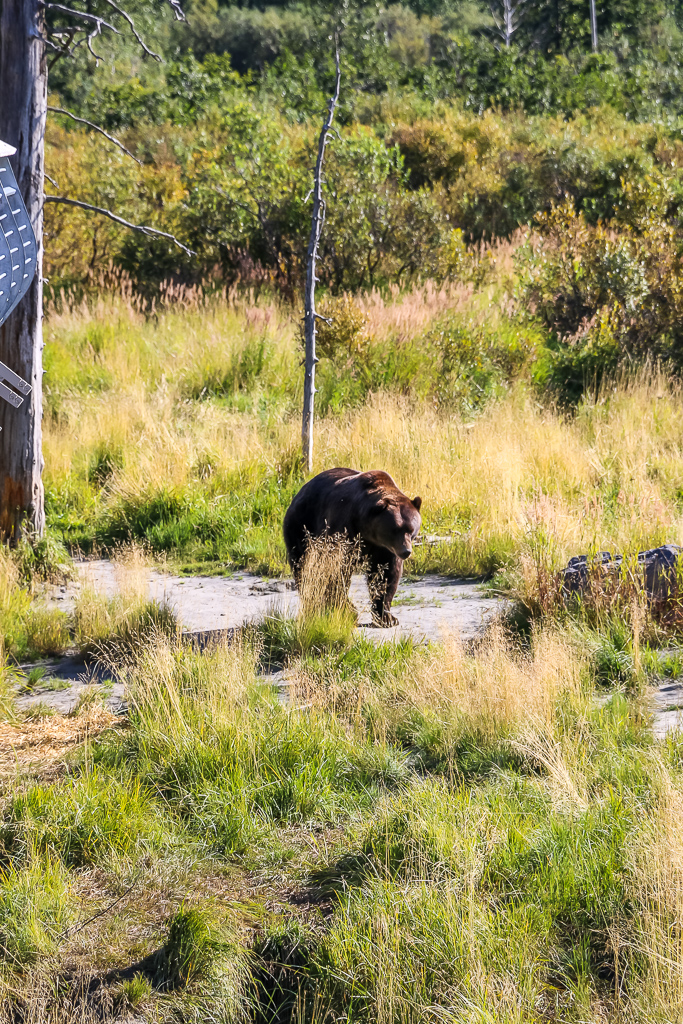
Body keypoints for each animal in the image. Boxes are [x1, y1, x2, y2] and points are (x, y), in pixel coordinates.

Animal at [282, 468, 421, 622]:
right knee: (303, 567)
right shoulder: (343, 530)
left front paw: (386, 617)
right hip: (301, 527)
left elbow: (385, 575)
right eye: (395, 529)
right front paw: (348, 610)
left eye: (411, 530)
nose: (406, 551)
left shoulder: (385, 549)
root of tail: (300, 492)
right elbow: (335, 572)